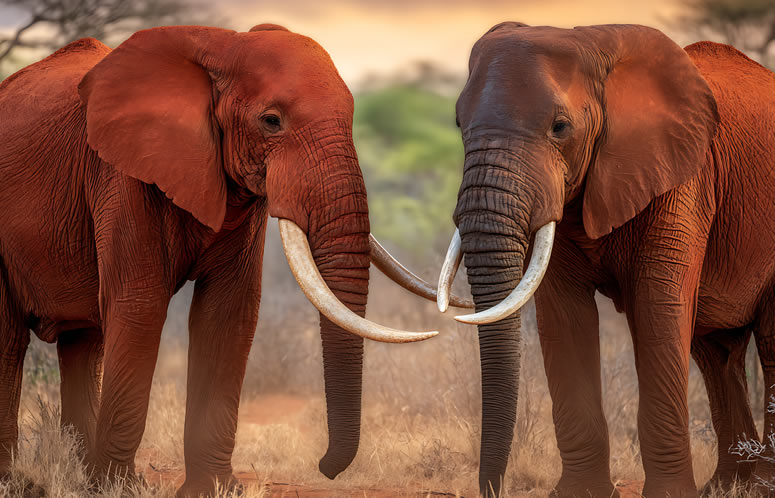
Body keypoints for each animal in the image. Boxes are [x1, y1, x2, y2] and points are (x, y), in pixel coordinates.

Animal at [0, 24, 471, 496]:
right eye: (271, 121)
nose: (324, 468)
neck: (220, 46)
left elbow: (228, 311)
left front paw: (212, 488)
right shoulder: (123, 175)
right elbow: (140, 306)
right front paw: (120, 487)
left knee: (82, 342)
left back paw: (77, 474)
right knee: (10, 340)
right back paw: (22, 479)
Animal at [435, 22, 775, 498]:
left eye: (560, 127)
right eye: (458, 123)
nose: (490, 488)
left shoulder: (682, 179)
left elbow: (657, 308)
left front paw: (668, 495)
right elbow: (563, 316)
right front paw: (580, 492)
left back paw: (759, 485)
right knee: (716, 354)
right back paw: (728, 488)